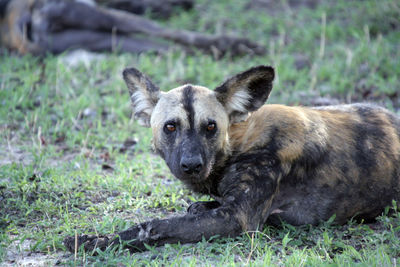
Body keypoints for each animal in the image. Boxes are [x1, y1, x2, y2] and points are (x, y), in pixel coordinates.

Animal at [64, 66, 400, 254]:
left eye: (210, 127)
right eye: (170, 127)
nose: (192, 165)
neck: (239, 143)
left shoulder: (235, 218)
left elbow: (153, 226)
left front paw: (95, 242)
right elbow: (194, 208)